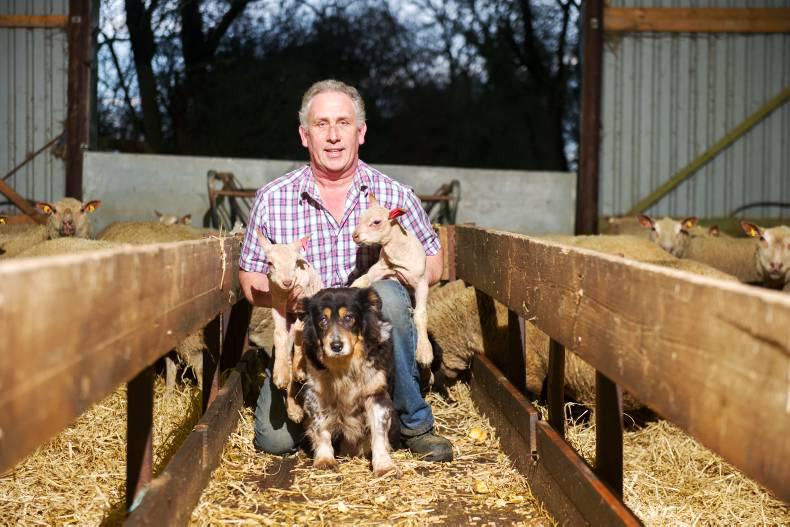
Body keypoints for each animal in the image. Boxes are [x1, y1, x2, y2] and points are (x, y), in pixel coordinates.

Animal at [255, 230, 324, 423]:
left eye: (295, 262)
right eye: (270, 263)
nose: (287, 281)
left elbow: (301, 333)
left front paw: (299, 369)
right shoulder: (277, 302)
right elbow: (280, 334)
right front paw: (280, 375)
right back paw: (294, 409)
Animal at [299, 287, 398, 476]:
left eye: (349, 318)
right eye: (322, 320)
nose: (336, 346)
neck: (344, 365)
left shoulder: (375, 393)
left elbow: (379, 432)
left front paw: (384, 465)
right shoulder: (316, 394)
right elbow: (320, 427)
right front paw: (324, 459)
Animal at [350, 193, 433, 368]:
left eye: (376, 222)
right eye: (360, 218)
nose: (355, 236)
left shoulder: (421, 282)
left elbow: (421, 315)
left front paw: (424, 351)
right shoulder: (381, 268)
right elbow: (364, 278)